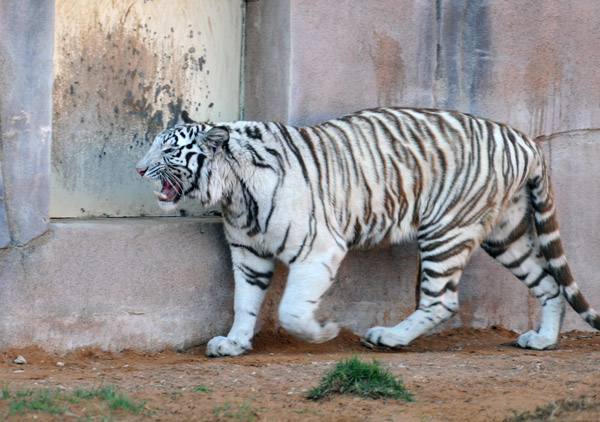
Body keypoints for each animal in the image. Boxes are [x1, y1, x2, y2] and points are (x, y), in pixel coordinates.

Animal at [137, 108, 600, 356]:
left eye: (168, 149)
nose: (139, 169)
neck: (235, 196)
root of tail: (524, 139)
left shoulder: (319, 249)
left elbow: (291, 310)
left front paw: (324, 332)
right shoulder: (249, 254)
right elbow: (244, 303)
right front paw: (234, 343)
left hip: (446, 229)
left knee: (442, 300)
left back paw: (389, 337)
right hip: (504, 234)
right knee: (549, 284)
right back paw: (543, 339)